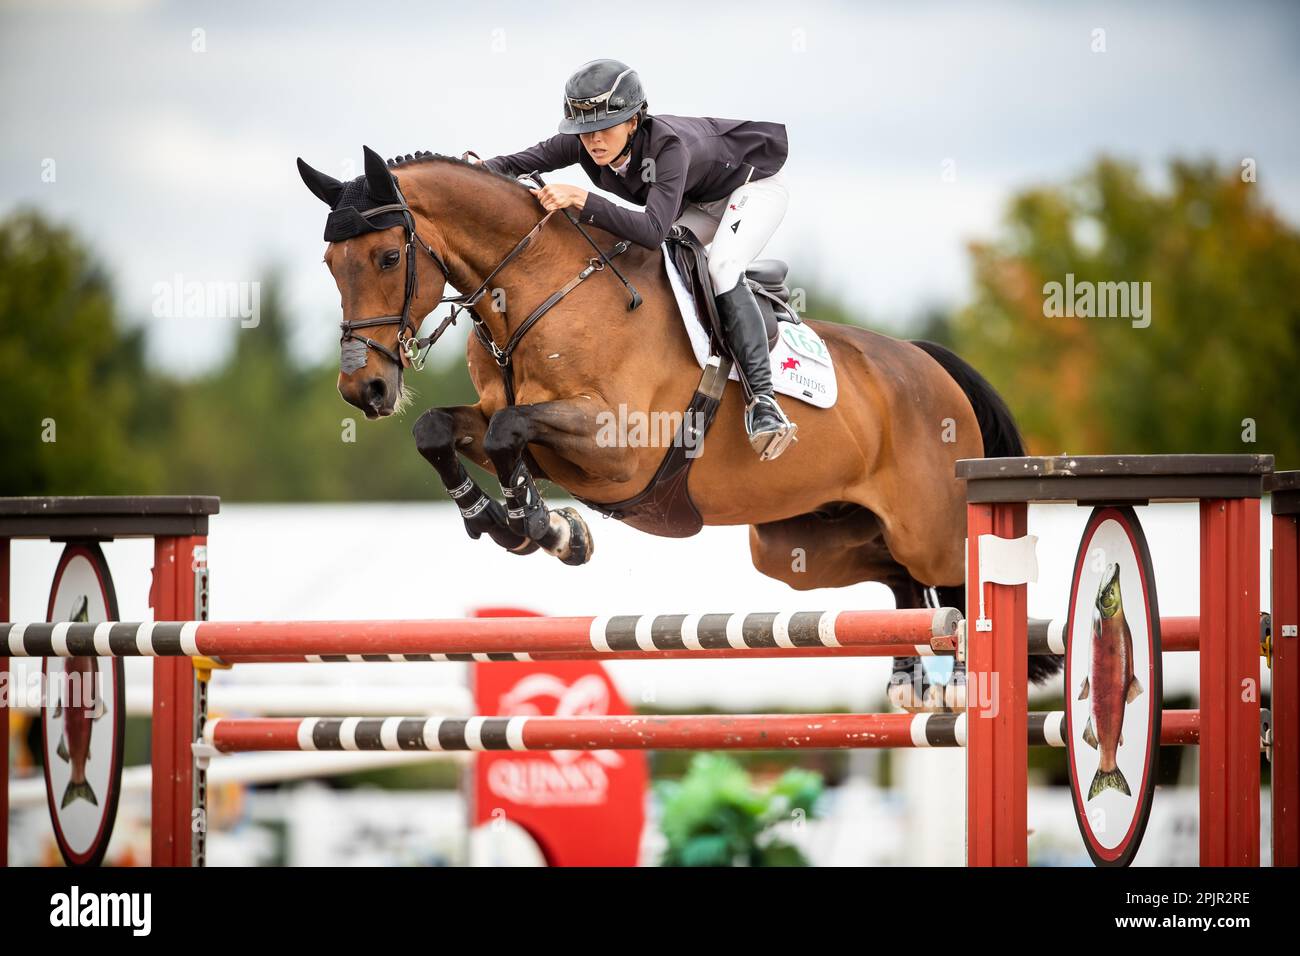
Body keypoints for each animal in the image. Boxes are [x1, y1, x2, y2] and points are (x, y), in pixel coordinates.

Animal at [299, 145, 1060, 707]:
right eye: (330, 264)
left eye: (388, 257)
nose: (364, 388)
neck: (541, 290)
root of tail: (931, 364)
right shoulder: (530, 431)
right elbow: (444, 429)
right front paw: (507, 522)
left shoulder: (619, 447)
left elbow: (506, 430)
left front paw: (545, 528)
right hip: (795, 546)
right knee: (900, 580)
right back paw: (908, 678)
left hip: (930, 526)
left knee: (955, 581)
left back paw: (958, 684)